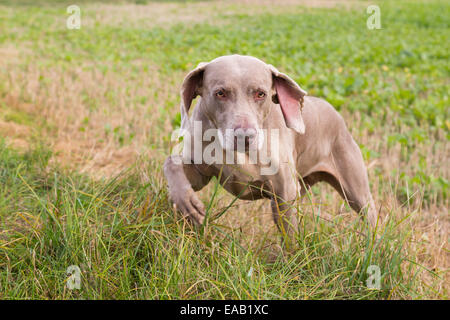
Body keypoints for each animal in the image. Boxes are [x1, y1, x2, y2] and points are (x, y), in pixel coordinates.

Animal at [163, 54, 378, 238]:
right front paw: (186, 202)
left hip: (354, 187)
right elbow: (171, 163)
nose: (245, 136)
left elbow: (290, 237)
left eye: (261, 94)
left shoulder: (284, 193)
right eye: (220, 93)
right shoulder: (200, 173)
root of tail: (334, 110)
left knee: (370, 215)